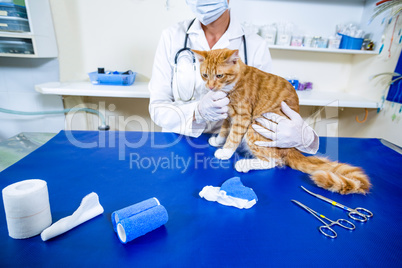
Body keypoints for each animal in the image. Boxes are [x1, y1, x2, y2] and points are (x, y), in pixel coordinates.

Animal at [192, 48, 370, 195]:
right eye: (205, 75)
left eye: (219, 75)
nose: (210, 87)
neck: (235, 82)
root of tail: (290, 148)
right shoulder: (229, 114)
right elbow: (224, 129)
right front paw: (218, 141)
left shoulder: (243, 117)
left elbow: (233, 136)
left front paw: (225, 152)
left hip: (255, 127)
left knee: (274, 162)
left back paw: (245, 164)